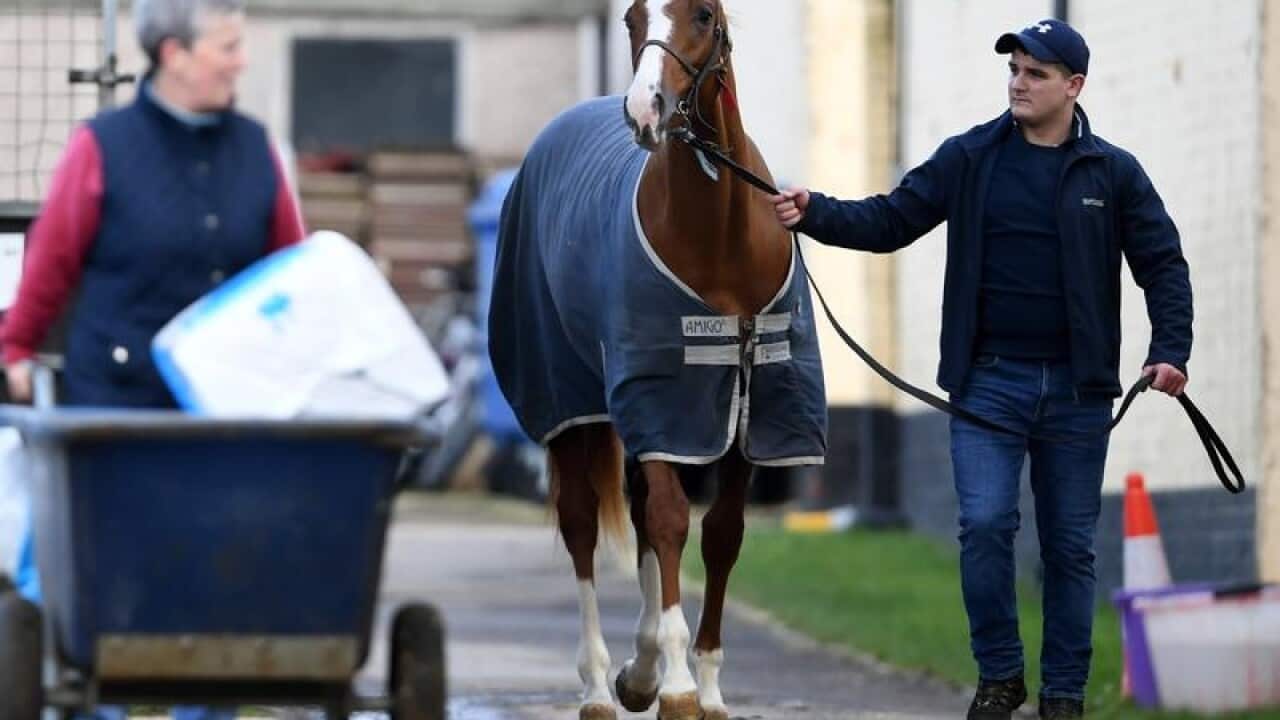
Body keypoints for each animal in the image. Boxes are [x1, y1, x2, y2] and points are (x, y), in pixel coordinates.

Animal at [488, 1, 827, 718]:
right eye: (631, 17)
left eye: (703, 13)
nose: (647, 108)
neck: (721, 237)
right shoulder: (664, 397)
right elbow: (672, 522)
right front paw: (676, 686)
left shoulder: (743, 412)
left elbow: (721, 533)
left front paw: (707, 685)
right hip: (571, 401)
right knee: (582, 523)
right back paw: (599, 684)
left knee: (641, 509)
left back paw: (637, 670)